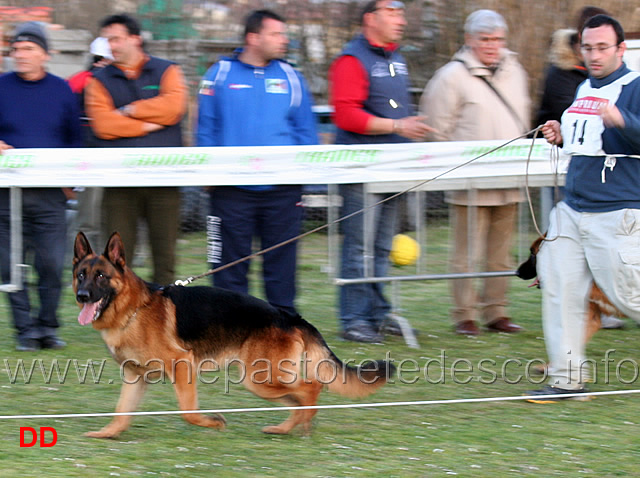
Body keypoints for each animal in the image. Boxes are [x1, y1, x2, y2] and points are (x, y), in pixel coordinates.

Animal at [75, 232, 396, 436]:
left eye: (101, 276)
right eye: (80, 275)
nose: (81, 296)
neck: (133, 309)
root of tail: (290, 316)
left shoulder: (182, 365)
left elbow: (189, 413)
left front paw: (214, 423)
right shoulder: (135, 377)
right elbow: (122, 412)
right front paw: (107, 434)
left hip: (259, 379)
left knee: (311, 387)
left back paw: (304, 423)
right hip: (262, 381)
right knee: (298, 396)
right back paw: (286, 428)